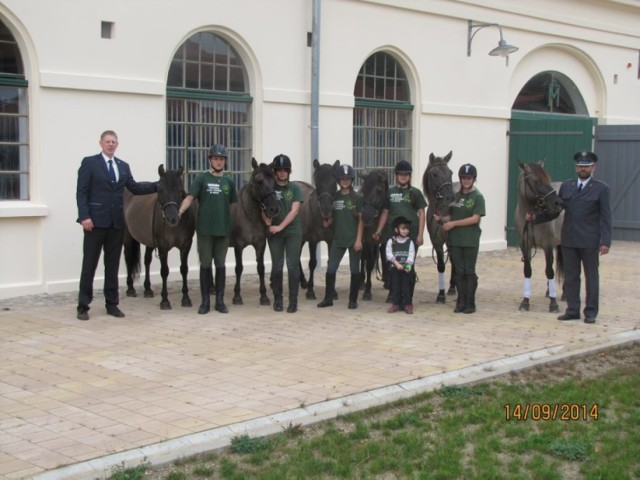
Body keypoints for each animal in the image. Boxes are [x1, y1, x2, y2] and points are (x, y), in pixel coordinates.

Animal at [123, 163, 195, 310]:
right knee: (128, 258)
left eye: (180, 190)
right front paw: (165, 301)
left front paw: (186, 298)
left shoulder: (186, 246)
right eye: (160, 190)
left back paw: (148, 290)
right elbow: (164, 271)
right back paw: (131, 289)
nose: (172, 218)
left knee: (147, 260)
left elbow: (184, 269)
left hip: (149, 241)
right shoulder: (163, 248)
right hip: (128, 237)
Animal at [230, 159, 280, 306]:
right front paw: (237, 296)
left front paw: (264, 296)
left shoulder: (260, 244)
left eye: (274, 181)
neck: (249, 216)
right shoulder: (238, 246)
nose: (274, 209)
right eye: (259, 181)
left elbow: (261, 268)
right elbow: (239, 268)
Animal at [298, 159, 340, 298]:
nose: (326, 210)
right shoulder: (313, 240)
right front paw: (311, 291)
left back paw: (303, 281)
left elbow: (331, 263)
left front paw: (332, 290)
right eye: (317, 183)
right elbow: (312, 263)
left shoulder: (331, 241)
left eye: (334, 183)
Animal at [516, 159, 564, 314]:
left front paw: (553, 304)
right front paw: (525, 302)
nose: (558, 203)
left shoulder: (547, 246)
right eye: (536, 181)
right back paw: (549, 292)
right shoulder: (525, 245)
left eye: (548, 179)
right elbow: (527, 270)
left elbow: (549, 271)